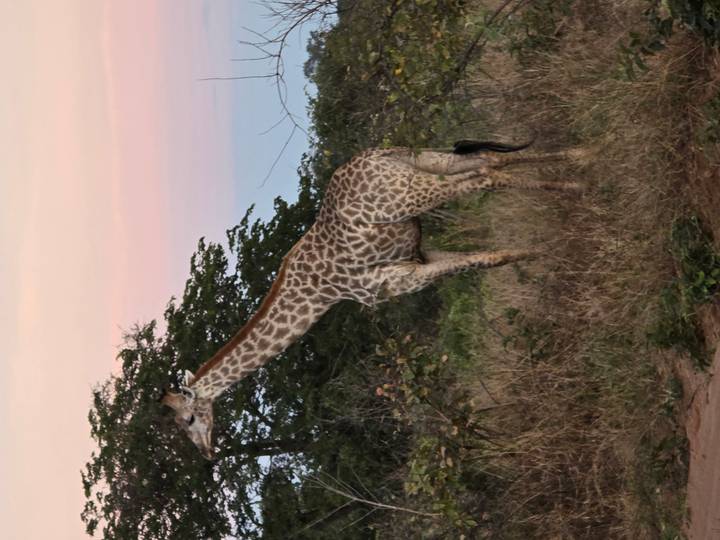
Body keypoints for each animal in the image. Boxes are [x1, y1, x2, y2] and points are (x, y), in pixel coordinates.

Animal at [160, 140, 583, 458]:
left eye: (189, 420)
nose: (207, 454)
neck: (321, 293)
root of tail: (375, 155)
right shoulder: (421, 256)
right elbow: (488, 258)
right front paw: (538, 254)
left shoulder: (398, 280)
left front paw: (547, 252)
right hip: (426, 162)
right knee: (491, 162)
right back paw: (582, 157)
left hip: (415, 192)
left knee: (483, 178)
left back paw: (575, 184)